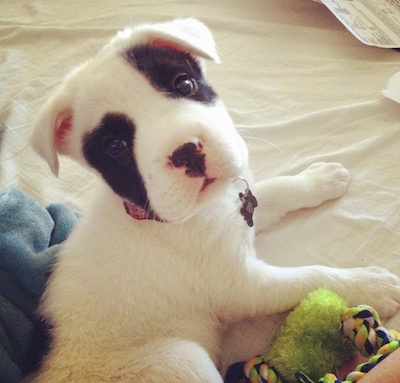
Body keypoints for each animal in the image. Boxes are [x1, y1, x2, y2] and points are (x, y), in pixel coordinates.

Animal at [28, 17, 400, 380]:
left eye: (184, 84)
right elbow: (312, 276)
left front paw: (320, 179)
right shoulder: (245, 287)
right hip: (180, 359)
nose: (186, 152)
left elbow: (278, 190)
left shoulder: (241, 204)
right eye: (115, 146)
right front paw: (371, 285)